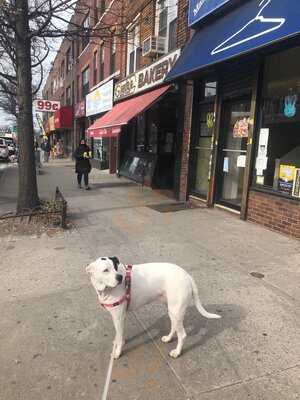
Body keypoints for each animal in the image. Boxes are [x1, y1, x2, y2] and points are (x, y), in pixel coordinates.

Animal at [86, 256, 220, 360]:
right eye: (105, 270)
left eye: (115, 267)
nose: (120, 278)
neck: (106, 289)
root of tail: (187, 276)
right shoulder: (121, 317)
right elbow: (120, 334)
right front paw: (120, 342)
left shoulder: (118, 317)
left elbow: (119, 335)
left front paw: (118, 352)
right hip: (172, 310)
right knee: (174, 326)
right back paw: (168, 338)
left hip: (176, 310)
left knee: (182, 335)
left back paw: (177, 352)